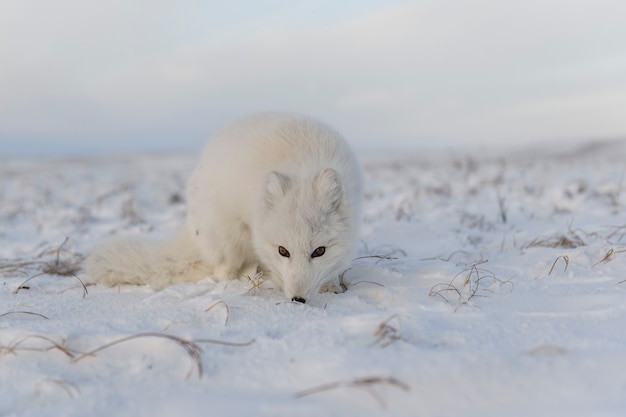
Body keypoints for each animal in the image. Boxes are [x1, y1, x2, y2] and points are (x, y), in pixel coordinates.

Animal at [85, 111, 364, 302]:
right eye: (283, 251)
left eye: (320, 251)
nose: (298, 299)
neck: (305, 165)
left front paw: (330, 286)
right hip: (227, 234)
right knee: (224, 269)